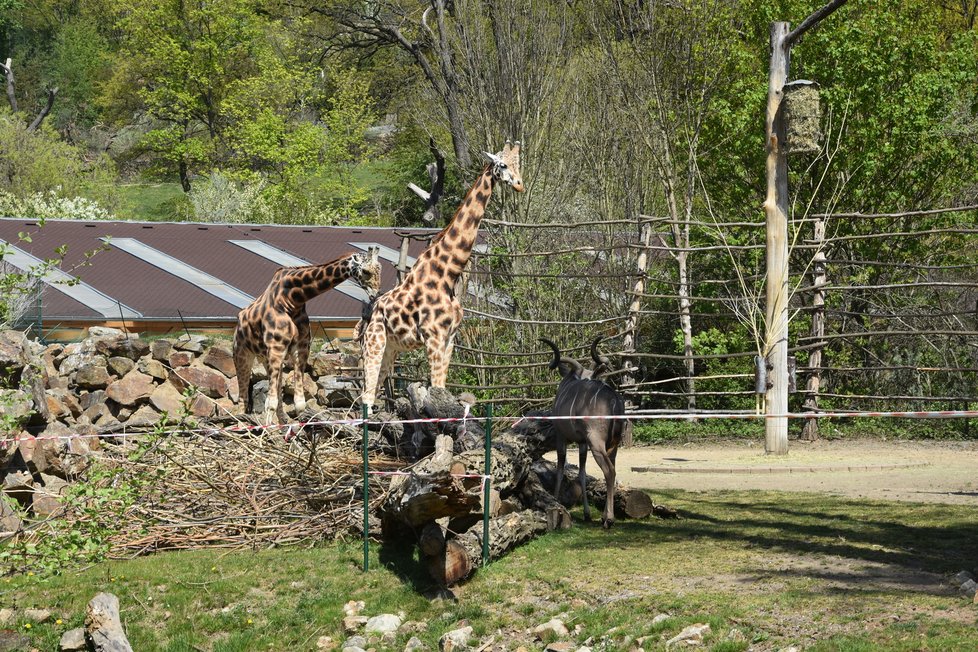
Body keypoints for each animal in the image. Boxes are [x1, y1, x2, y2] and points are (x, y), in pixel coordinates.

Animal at [233, 247, 382, 426]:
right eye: (366, 271)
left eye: (380, 269)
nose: (376, 294)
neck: (293, 300)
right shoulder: (276, 348)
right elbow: (270, 403)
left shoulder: (300, 348)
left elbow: (299, 403)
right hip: (242, 354)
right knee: (243, 398)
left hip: (266, 357)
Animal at [360, 140, 528, 410]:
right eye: (502, 164)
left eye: (518, 163)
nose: (520, 184)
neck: (446, 275)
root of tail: (364, 319)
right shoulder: (434, 339)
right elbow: (436, 393)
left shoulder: (450, 340)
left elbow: (441, 389)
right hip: (374, 344)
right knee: (365, 397)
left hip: (390, 349)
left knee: (372, 393)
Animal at [536, 338, 628, 528]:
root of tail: (614, 400)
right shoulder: (582, 442)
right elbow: (582, 473)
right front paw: (586, 513)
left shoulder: (561, 436)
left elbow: (560, 468)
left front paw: (556, 501)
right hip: (612, 445)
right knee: (612, 469)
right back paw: (604, 516)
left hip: (597, 443)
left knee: (609, 471)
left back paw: (609, 519)